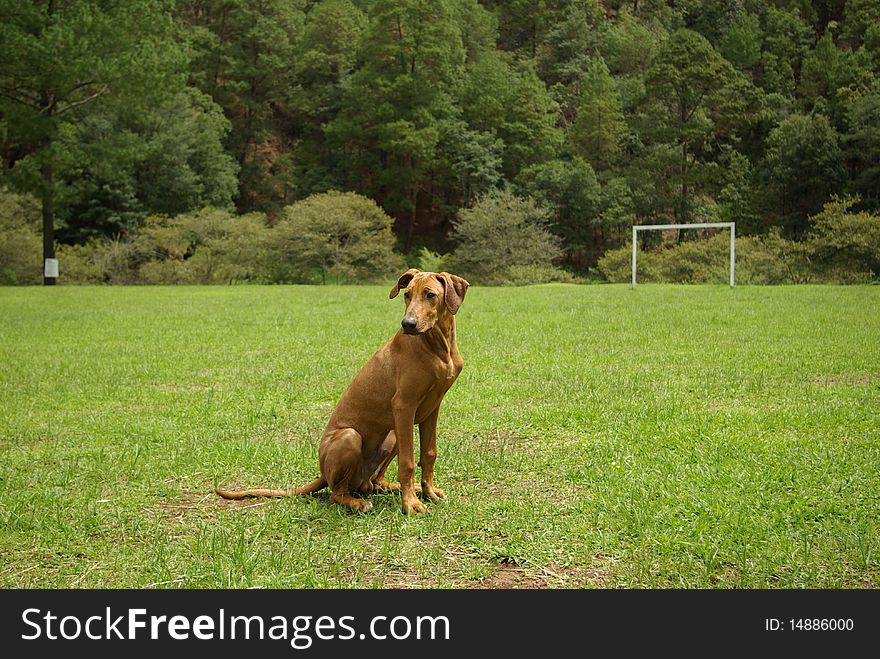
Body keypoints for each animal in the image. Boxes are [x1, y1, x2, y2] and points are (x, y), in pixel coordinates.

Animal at [215, 270, 468, 516]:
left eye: (430, 295)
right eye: (407, 295)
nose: (408, 324)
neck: (438, 345)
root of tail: (323, 474)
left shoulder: (432, 408)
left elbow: (429, 454)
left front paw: (428, 491)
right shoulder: (403, 406)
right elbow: (408, 462)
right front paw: (411, 504)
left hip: (392, 434)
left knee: (373, 482)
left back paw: (393, 487)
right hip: (351, 436)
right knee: (336, 494)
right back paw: (357, 503)